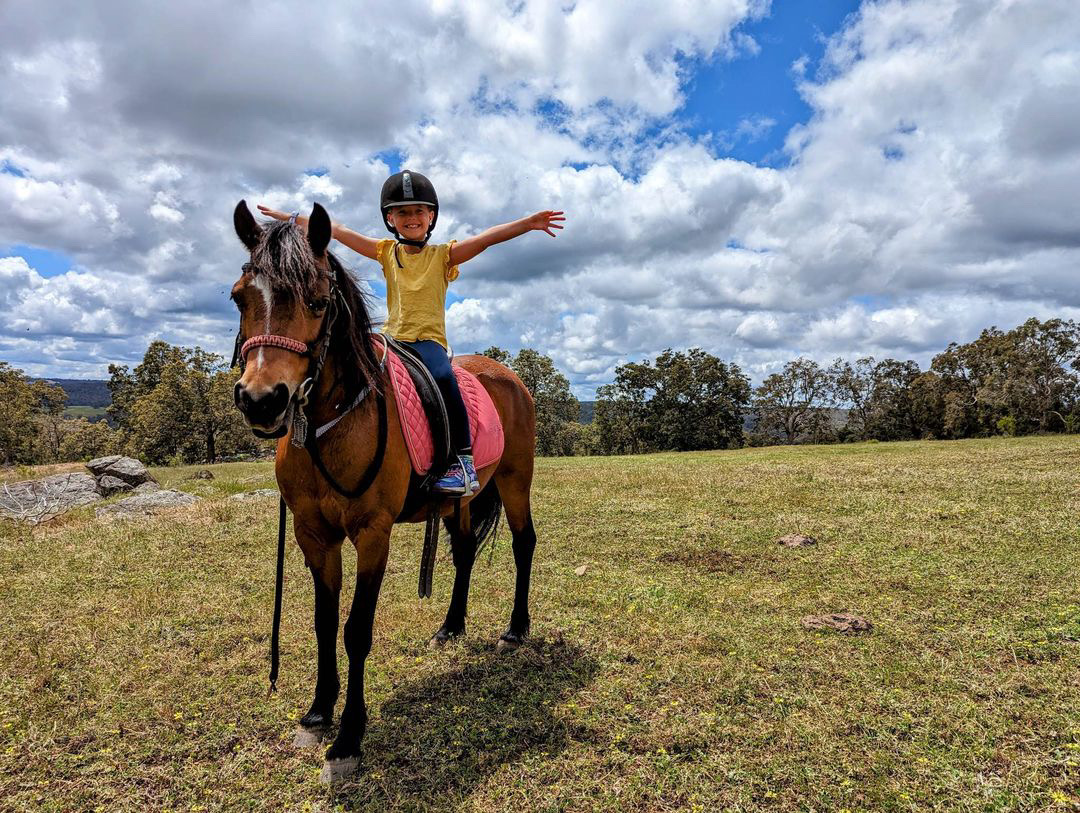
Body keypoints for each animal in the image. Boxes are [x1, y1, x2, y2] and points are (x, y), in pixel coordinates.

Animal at [229, 200, 538, 781]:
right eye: (240, 297)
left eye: (317, 301)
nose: (262, 400)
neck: (330, 424)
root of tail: (507, 375)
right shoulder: (313, 534)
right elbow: (324, 621)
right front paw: (318, 712)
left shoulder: (372, 534)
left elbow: (356, 629)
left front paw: (348, 737)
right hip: (461, 502)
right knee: (465, 551)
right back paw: (451, 627)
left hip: (515, 480)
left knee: (523, 543)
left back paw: (515, 629)